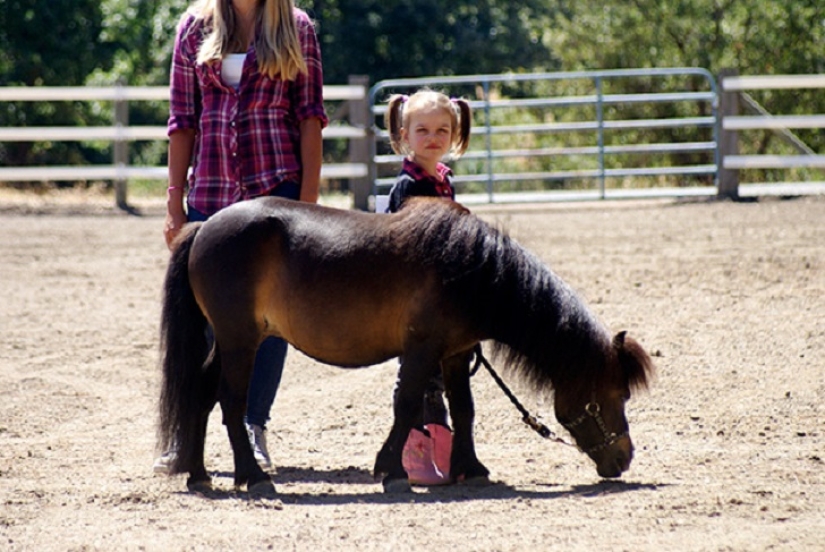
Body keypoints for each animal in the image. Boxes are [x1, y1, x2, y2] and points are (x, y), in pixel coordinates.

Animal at [158, 196, 652, 494]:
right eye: (614, 396)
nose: (624, 458)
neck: (470, 271)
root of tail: (204, 228)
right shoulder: (421, 351)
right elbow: (407, 405)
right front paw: (391, 470)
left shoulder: (456, 354)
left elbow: (463, 409)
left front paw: (471, 468)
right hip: (241, 342)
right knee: (230, 401)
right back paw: (252, 475)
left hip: (227, 343)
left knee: (201, 396)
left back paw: (199, 475)